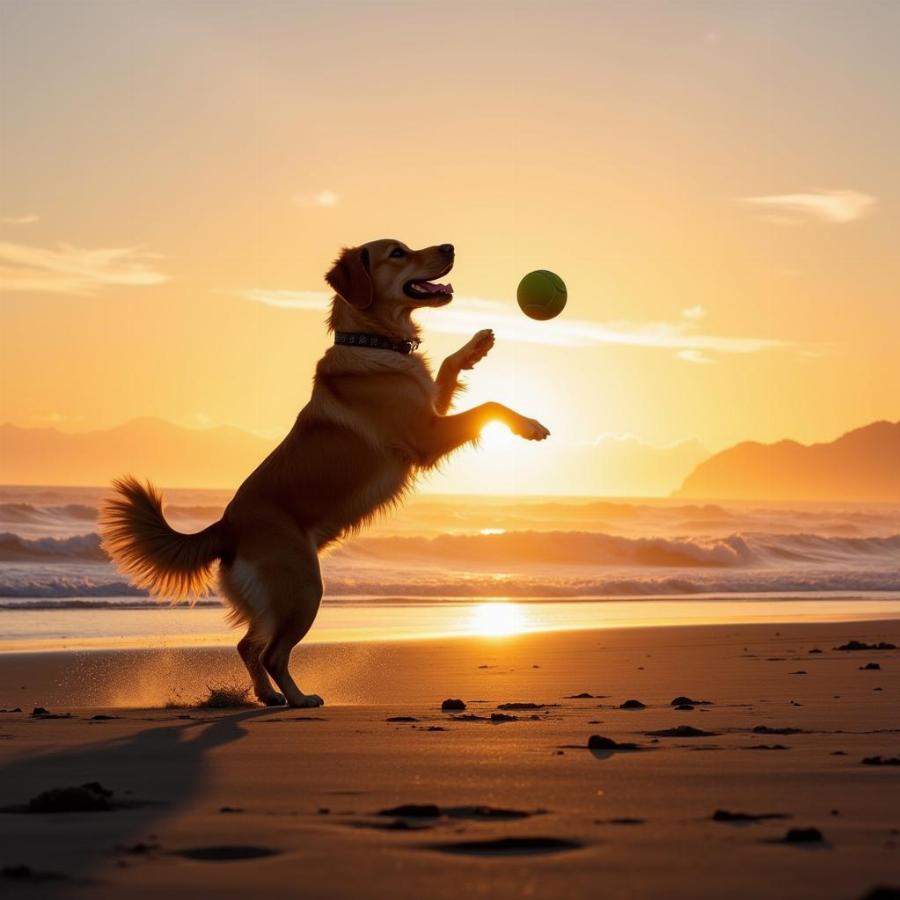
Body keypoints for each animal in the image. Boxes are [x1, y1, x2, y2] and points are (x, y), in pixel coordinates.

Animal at [98, 243, 548, 708]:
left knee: (247, 644)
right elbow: (490, 406)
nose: (449, 247)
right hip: (303, 589)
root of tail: (226, 525)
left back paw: (269, 695)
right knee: (273, 652)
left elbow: (446, 369)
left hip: (275, 599)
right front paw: (529, 425)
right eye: (397, 252)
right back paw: (298, 697)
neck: (374, 342)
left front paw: (476, 346)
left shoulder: (430, 409)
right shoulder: (426, 434)